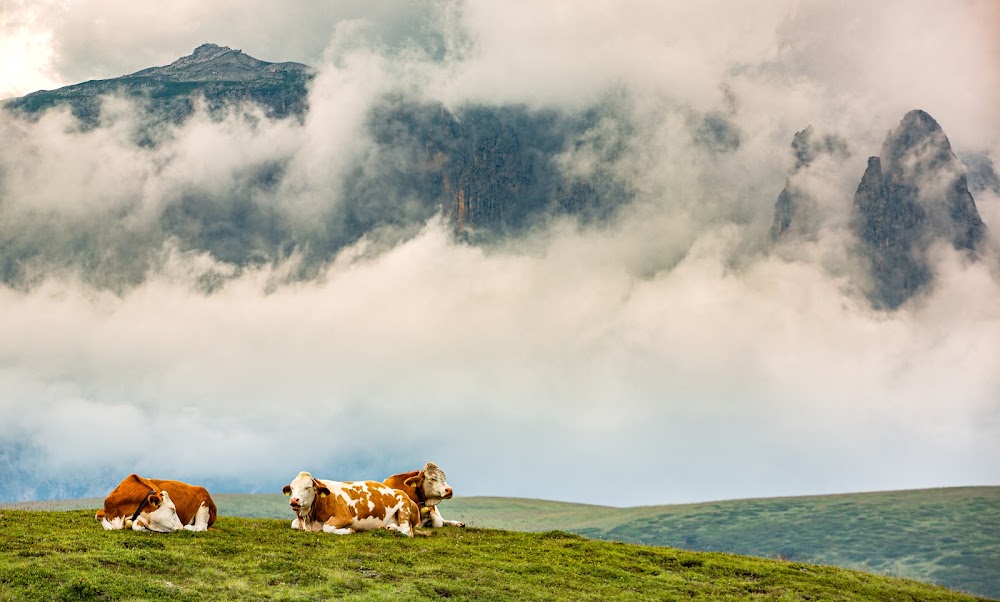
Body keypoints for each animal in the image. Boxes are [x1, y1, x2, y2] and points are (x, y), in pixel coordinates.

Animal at [282, 468, 422, 536]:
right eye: (292, 488)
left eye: (308, 487)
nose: (294, 500)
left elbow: (327, 527)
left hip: (403, 507)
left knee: (406, 530)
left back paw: (391, 527)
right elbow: (294, 524)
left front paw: (349, 531)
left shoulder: (344, 516)